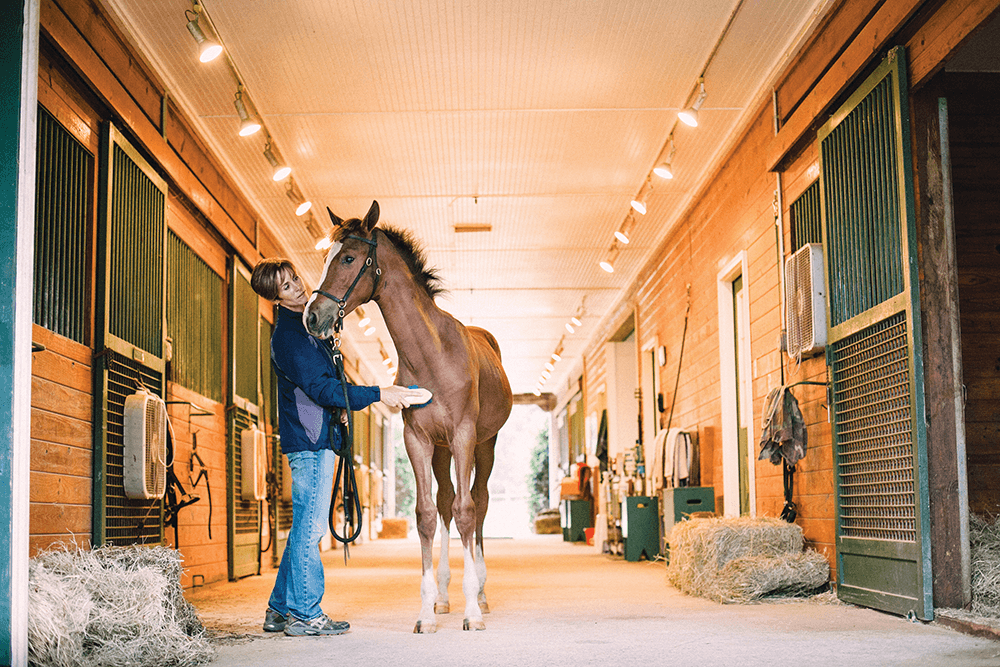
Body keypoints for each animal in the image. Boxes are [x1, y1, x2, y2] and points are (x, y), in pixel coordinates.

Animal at [303, 201, 512, 633]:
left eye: (348, 258)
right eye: (327, 256)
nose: (312, 317)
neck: (433, 352)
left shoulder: (465, 435)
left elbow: (467, 512)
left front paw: (471, 612)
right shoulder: (418, 439)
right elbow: (427, 515)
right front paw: (427, 612)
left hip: (484, 445)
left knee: (478, 503)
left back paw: (481, 594)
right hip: (442, 450)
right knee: (447, 501)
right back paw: (446, 597)